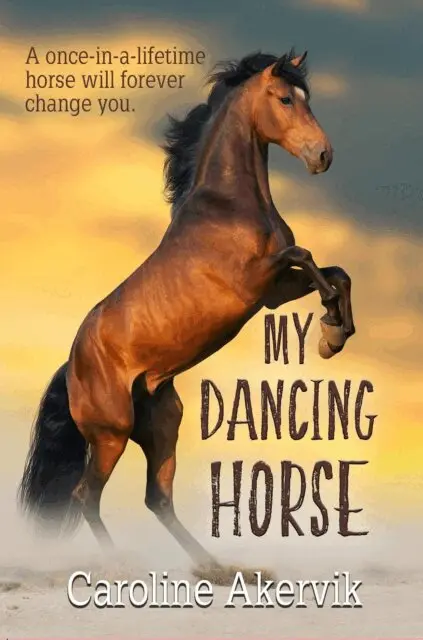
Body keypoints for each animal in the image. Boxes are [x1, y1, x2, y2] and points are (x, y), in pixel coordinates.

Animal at [18, 50, 355, 571]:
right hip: (111, 434)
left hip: (162, 424)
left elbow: (336, 273)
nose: (322, 156)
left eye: (307, 98)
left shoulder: (274, 292)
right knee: (85, 497)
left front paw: (334, 335)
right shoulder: (253, 283)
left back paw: (212, 567)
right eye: (284, 99)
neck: (228, 207)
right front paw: (331, 331)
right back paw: (124, 564)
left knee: (157, 498)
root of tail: (71, 366)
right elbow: (309, 256)